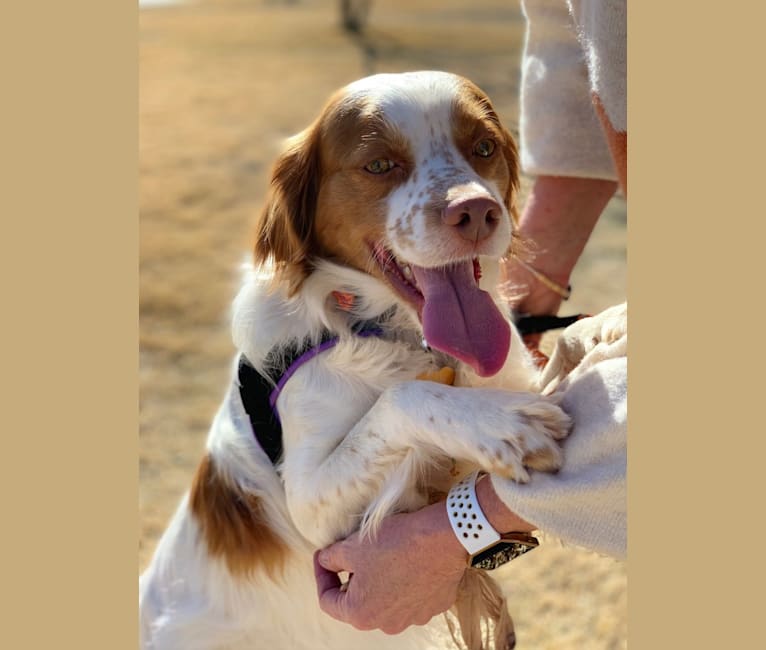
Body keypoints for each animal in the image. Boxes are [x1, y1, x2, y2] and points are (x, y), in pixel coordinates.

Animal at [142, 71, 576, 648]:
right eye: (379, 165)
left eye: (483, 148)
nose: (477, 212)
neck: (402, 335)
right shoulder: (311, 509)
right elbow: (402, 398)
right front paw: (501, 425)